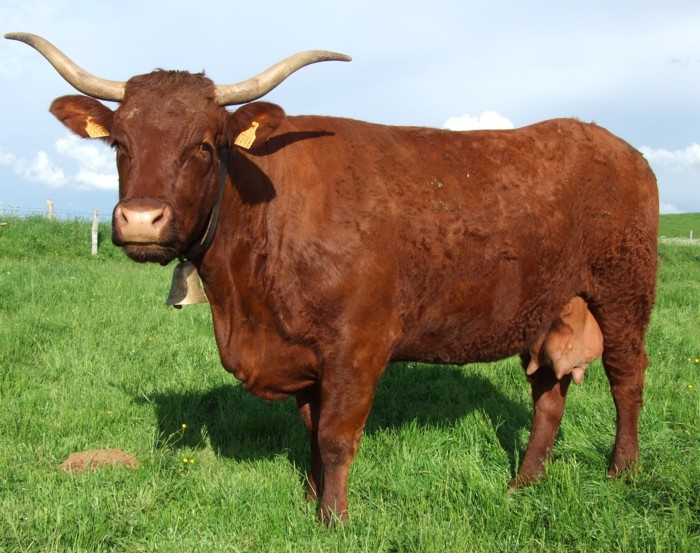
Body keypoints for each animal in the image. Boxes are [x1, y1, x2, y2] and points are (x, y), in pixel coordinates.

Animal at [7, 32, 658, 523]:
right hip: (549, 307)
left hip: (624, 292)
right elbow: (310, 433)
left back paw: (622, 471)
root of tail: (607, 139)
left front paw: (335, 520)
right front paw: (309, 502)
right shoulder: (302, 355)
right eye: (119, 142)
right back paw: (523, 484)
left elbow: (336, 438)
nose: (141, 219)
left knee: (627, 378)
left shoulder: (357, 347)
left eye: (207, 144)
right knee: (548, 393)